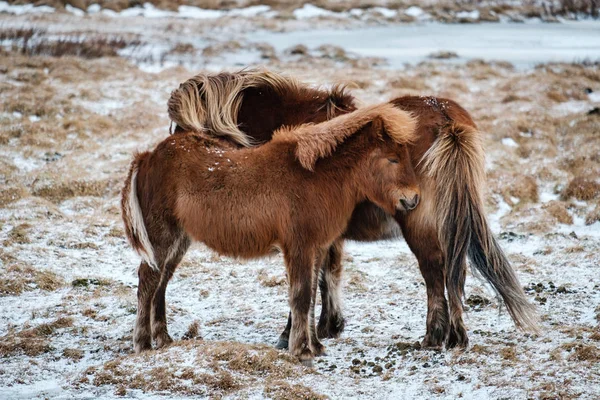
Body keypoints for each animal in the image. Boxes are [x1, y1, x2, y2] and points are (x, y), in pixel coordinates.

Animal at [120, 104, 422, 366]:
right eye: (393, 158)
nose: (413, 199)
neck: (317, 177)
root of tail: (148, 156)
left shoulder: (316, 249)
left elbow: (312, 297)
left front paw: (315, 346)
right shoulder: (299, 247)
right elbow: (301, 296)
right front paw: (302, 350)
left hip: (179, 239)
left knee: (161, 282)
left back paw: (164, 339)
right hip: (161, 236)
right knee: (148, 280)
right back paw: (143, 343)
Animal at [165, 69, 540, 350]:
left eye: (185, 130)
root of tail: (445, 117)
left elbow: (309, 279)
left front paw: (293, 335)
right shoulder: (325, 231)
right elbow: (329, 273)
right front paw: (328, 326)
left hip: (419, 223)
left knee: (435, 272)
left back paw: (435, 337)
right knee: (455, 271)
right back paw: (457, 337)